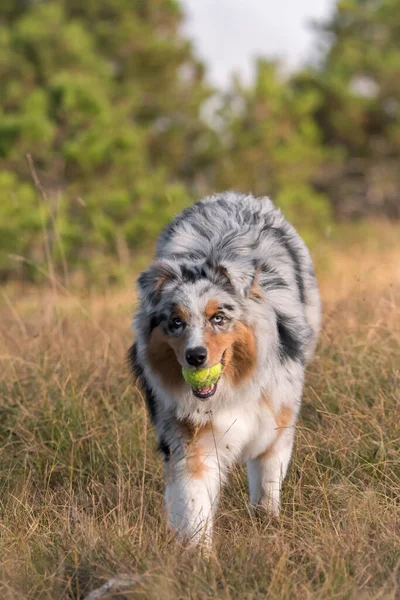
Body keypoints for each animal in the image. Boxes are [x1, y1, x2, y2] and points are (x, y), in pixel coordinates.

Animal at [130, 192, 320, 548]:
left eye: (218, 317)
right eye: (176, 322)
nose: (195, 357)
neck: (232, 388)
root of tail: (229, 195)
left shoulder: (274, 427)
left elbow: (266, 487)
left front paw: (267, 527)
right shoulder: (190, 436)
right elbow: (193, 500)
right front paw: (199, 555)